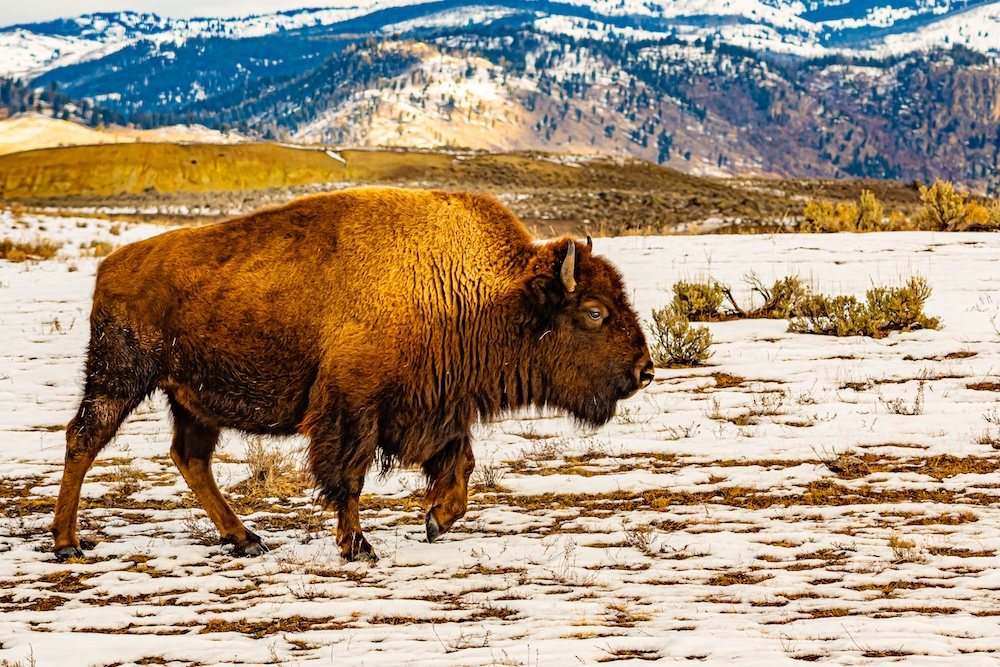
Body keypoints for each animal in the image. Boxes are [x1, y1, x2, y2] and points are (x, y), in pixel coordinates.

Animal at [52, 187, 654, 562]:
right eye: (595, 312)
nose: (645, 370)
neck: (479, 290)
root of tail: (109, 265)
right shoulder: (352, 408)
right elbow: (349, 477)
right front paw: (359, 546)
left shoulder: (437, 409)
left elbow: (459, 465)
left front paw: (436, 520)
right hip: (120, 377)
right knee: (84, 439)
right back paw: (66, 543)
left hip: (192, 398)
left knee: (190, 457)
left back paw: (246, 539)